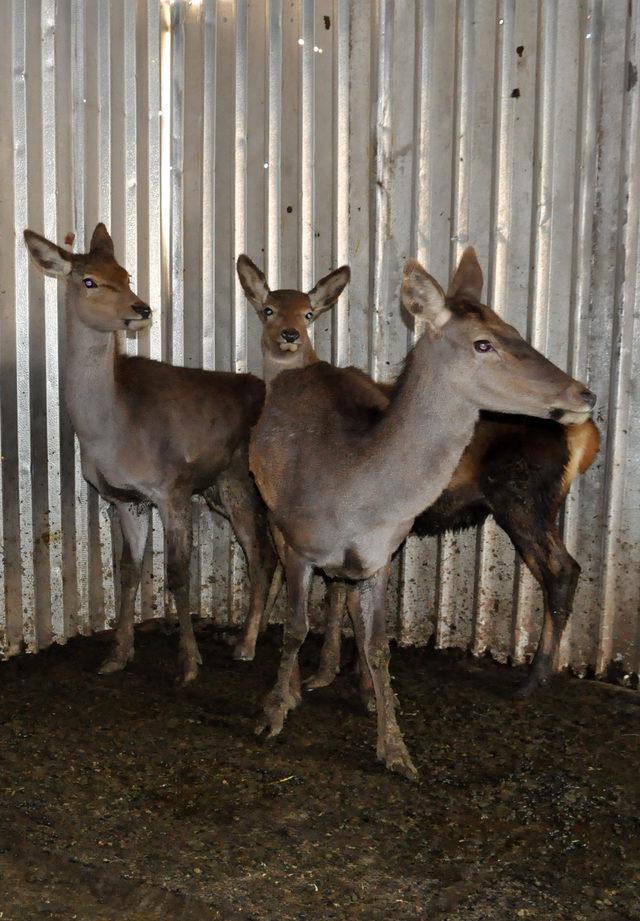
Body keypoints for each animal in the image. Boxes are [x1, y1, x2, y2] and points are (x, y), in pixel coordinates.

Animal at [25, 223, 276, 684]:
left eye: (125, 274)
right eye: (90, 280)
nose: (141, 307)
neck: (110, 430)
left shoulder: (172, 487)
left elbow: (177, 574)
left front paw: (189, 664)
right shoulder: (124, 499)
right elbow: (128, 571)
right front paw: (117, 655)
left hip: (239, 480)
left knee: (262, 556)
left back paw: (246, 645)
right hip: (219, 490)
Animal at [246, 246, 596, 776]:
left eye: (516, 328)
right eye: (483, 343)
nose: (584, 393)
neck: (352, 492)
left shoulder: (377, 557)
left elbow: (377, 644)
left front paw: (394, 748)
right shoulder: (299, 540)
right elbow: (295, 628)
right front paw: (274, 713)